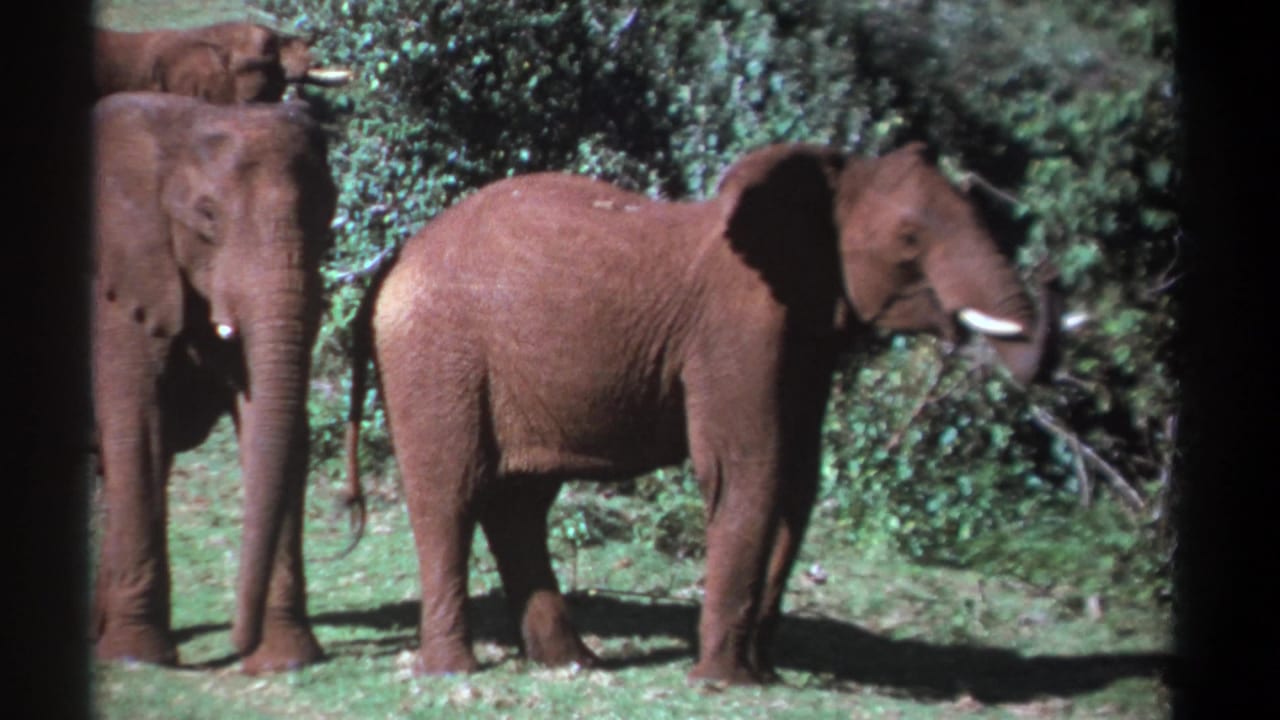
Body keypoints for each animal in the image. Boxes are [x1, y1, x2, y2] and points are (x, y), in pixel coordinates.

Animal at [91, 92, 338, 674]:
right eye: (207, 216)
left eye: (328, 209)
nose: (237, 644)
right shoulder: (120, 282)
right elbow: (137, 423)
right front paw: (138, 657)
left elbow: (271, 426)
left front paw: (285, 659)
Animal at [343, 142, 1061, 684]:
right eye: (911, 239)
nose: (1041, 364)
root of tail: (395, 260)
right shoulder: (735, 330)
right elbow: (748, 470)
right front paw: (724, 682)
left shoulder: (803, 338)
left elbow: (797, 482)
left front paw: (761, 675)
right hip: (437, 353)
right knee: (450, 493)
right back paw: (453, 671)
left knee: (520, 504)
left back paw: (573, 664)